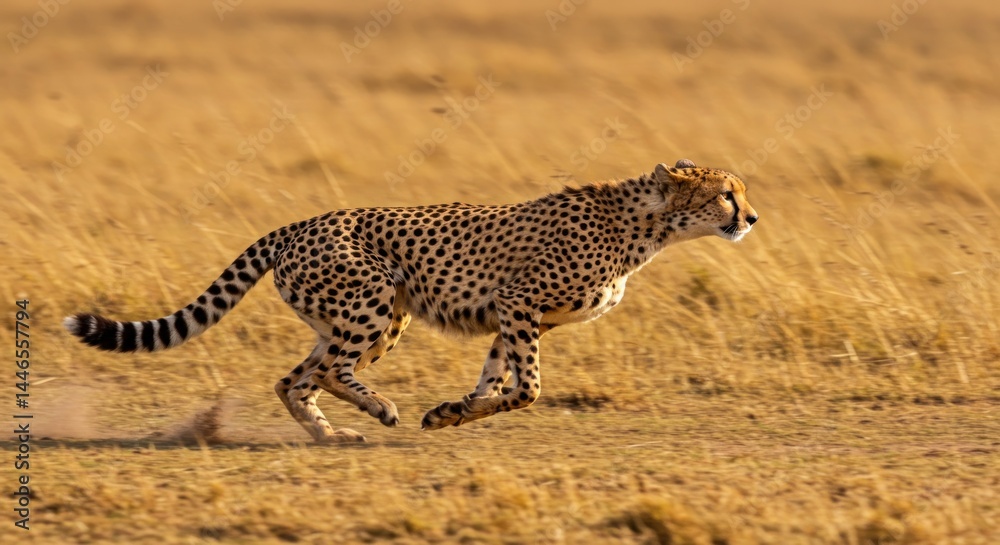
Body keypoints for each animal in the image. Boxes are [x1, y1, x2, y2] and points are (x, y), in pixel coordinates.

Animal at [64, 159, 759, 443]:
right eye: (726, 193)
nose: (751, 217)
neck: (647, 225)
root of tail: (300, 223)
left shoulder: (515, 316)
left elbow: (497, 378)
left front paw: (454, 412)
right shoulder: (519, 300)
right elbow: (530, 387)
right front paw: (454, 410)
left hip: (373, 316)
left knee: (295, 379)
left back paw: (333, 435)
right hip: (373, 302)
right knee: (329, 372)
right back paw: (379, 410)